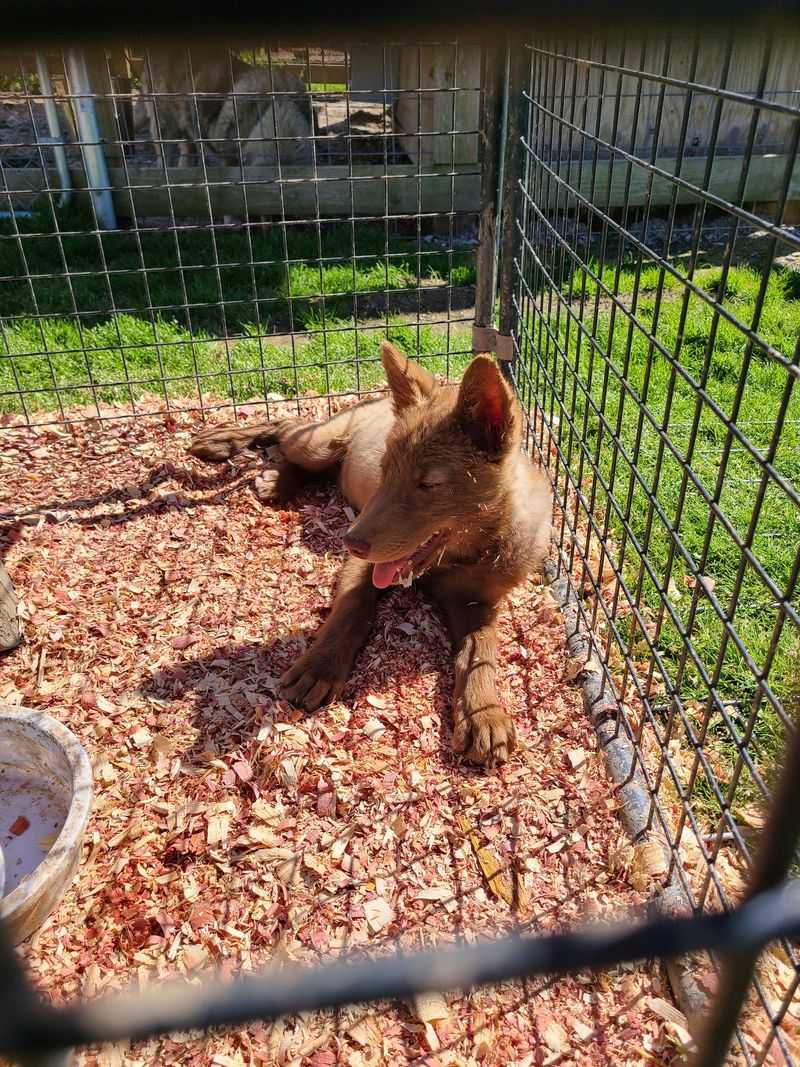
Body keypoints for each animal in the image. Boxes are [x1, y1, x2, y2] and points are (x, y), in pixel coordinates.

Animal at [188, 343, 552, 766]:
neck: (462, 554)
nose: (350, 541)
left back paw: (277, 480)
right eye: (385, 470)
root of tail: (374, 399)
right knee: (287, 425)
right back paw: (225, 441)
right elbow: (354, 606)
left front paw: (484, 712)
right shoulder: (365, 565)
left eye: (428, 484)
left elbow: (481, 650)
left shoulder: (480, 600)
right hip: (318, 444)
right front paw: (321, 666)